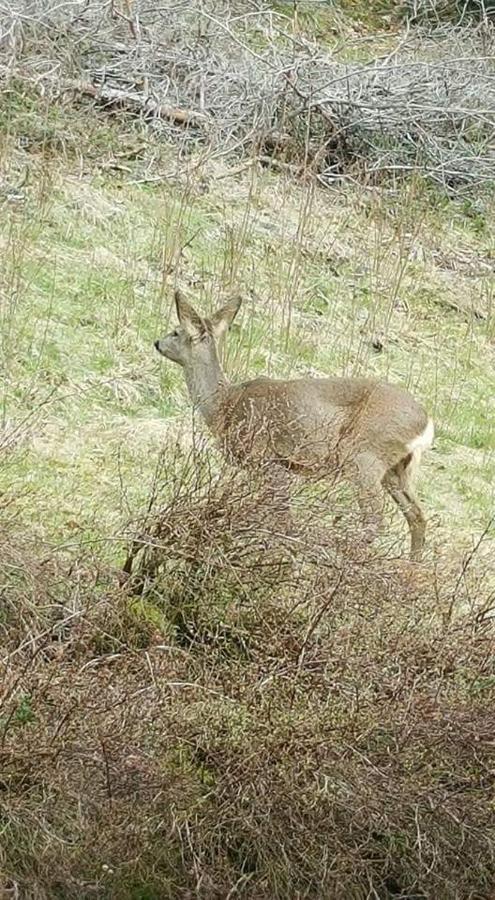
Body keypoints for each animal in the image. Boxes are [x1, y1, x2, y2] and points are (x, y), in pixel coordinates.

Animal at [155, 292, 434, 560]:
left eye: (176, 331)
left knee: (376, 518)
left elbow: (282, 514)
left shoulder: (267, 457)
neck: (224, 405)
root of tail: (426, 424)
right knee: (417, 515)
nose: (157, 342)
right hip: (396, 469)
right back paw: (412, 566)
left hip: (364, 456)